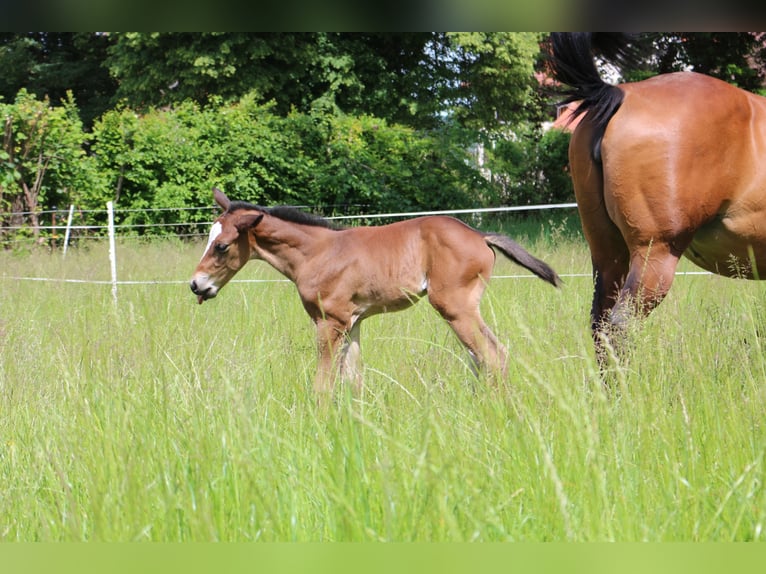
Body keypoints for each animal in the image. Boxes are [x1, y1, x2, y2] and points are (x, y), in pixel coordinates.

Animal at [190, 188, 561, 398]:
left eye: (222, 246)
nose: (196, 284)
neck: (317, 253)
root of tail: (481, 235)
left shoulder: (330, 321)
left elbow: (324, 382)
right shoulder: (353, 322)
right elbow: (353, 379)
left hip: (455, 307)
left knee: (492, 356)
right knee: (486, 357)